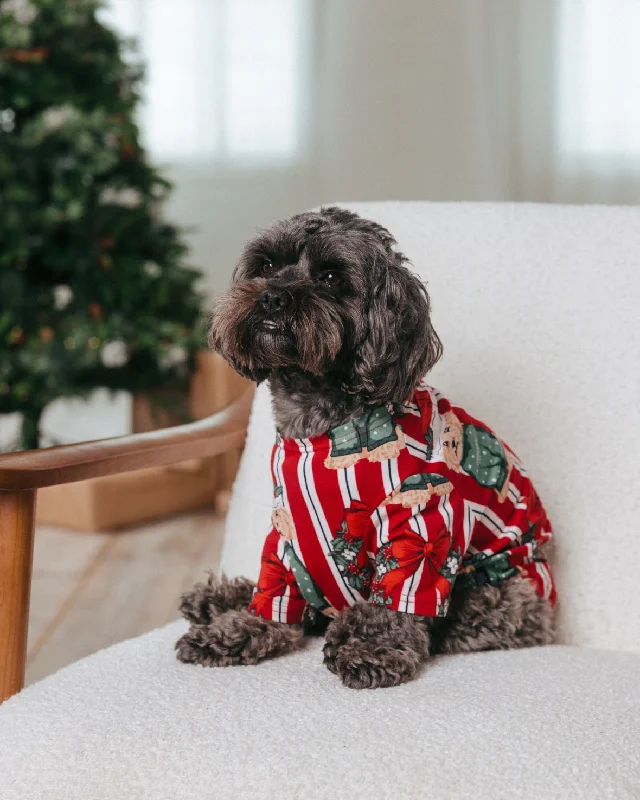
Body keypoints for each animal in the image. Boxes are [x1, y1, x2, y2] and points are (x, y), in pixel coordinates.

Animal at [176, 206, 556, 688]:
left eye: (331, 276)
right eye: (265, 265)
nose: (273, 298)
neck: (320, 429)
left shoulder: (420, 516)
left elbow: (397, 597)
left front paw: (372, 647)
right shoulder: (286, 528)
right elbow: (274, 592)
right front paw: (238, 629)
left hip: (502, 591)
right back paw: (218, 597)